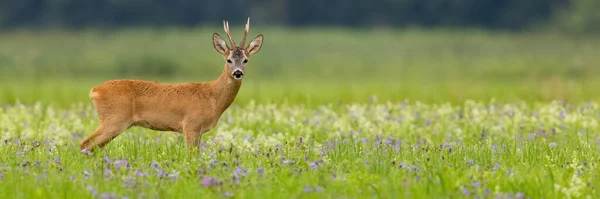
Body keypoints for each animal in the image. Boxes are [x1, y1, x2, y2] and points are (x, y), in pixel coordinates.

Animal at [79, 17, 262, 153]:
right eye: (228, 60)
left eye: (245, 60)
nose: (237, 73)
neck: (213, 97)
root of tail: (94, 91)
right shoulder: (191, 124)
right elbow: (192, 155)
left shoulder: (198, 130)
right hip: (114, 119)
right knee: (85, 144)